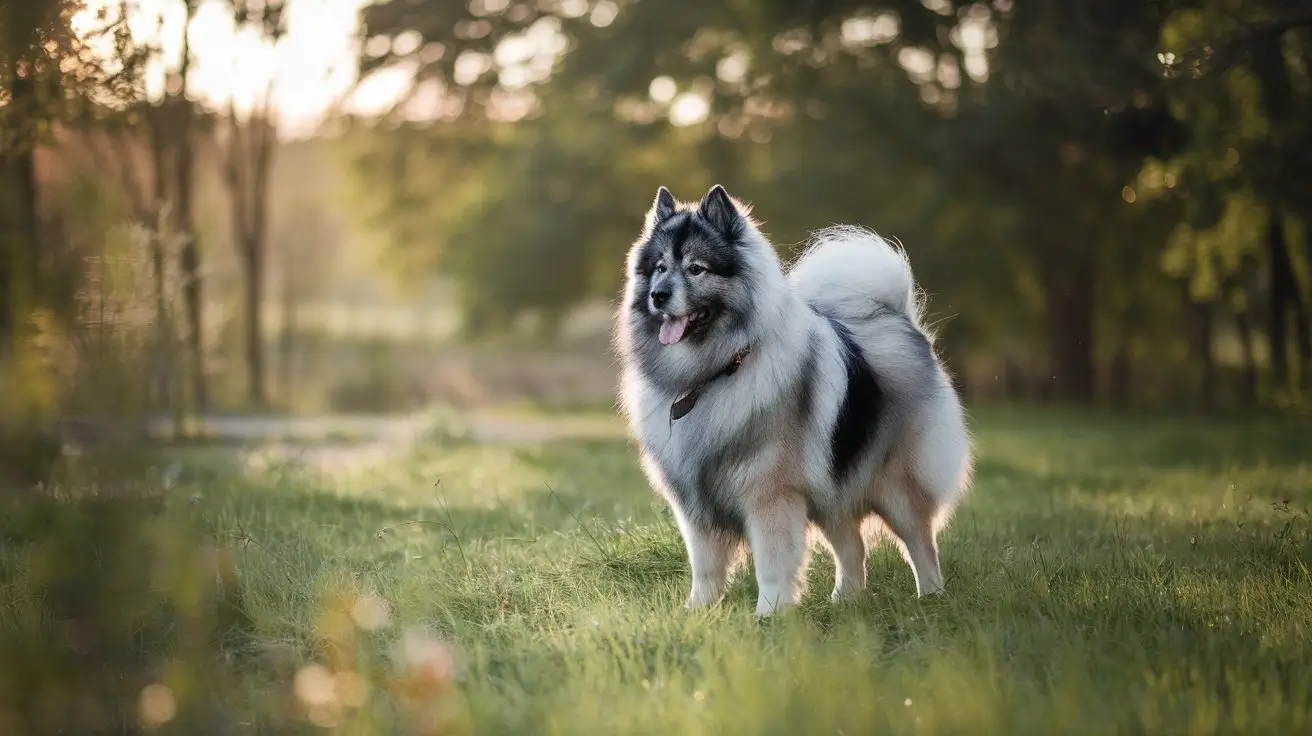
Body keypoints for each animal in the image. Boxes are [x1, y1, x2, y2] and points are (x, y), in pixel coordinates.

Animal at [614, 183, 976, 613]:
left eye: (696, 268)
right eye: (659, 268)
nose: (658, 295)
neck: (713, 372)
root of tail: (897, 320)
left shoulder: (770, 497)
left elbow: (772, 564)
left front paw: (769, 614)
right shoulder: (695, 504)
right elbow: (705, 567)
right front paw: (698, 611)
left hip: (897, 489)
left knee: (921, 545)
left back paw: (931, 598)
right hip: (831, 488)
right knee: (852, 548)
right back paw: (845, 602)